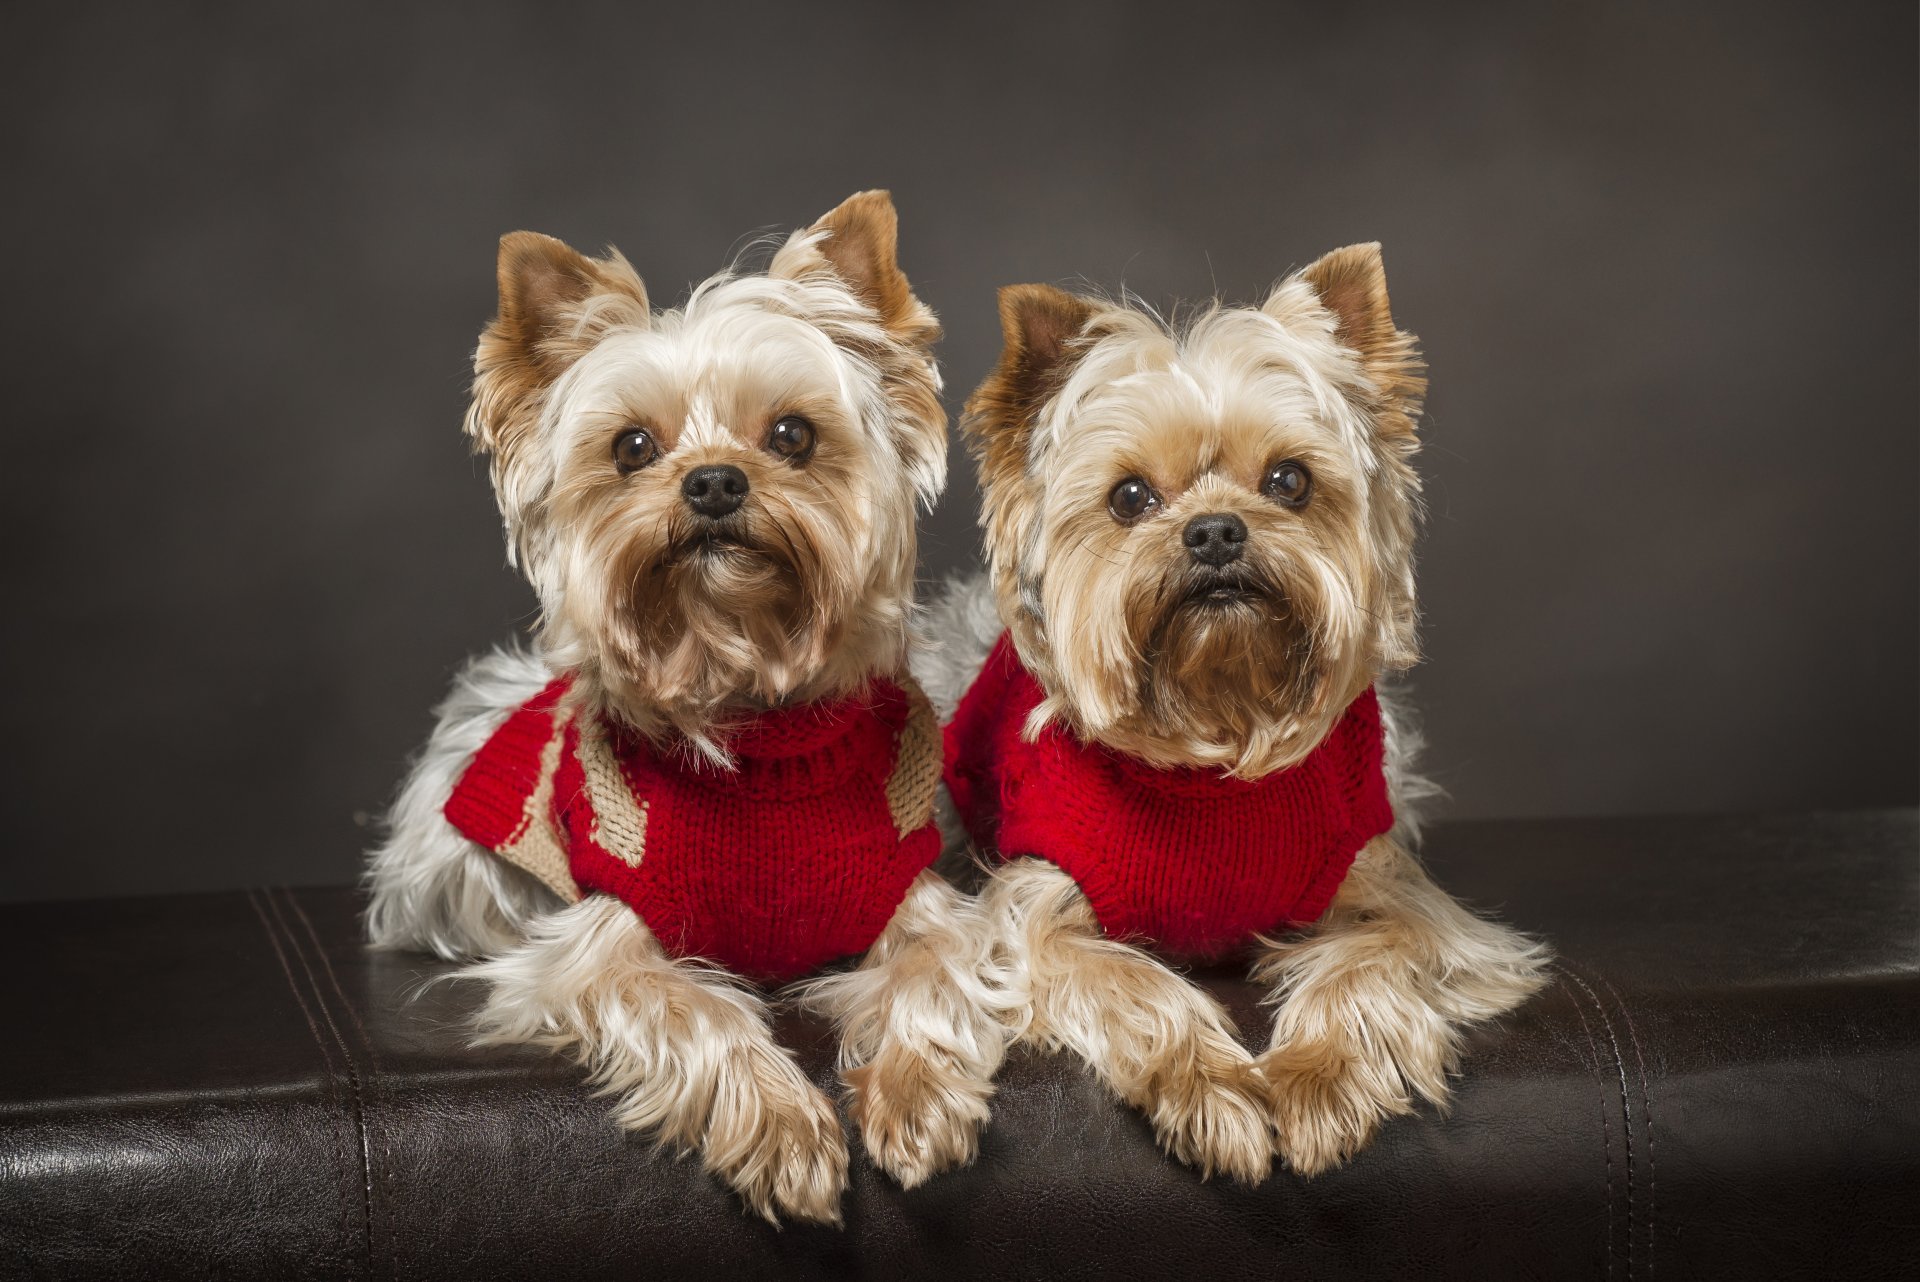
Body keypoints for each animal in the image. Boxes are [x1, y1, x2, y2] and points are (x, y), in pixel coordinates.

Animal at [364, 189, 1013, 1220]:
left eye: (792, 435)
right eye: (632, 446)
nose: (712, 480)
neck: (754, 713)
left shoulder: (917, 897)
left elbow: (934, 971)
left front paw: (918, 1102)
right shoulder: (601, 940)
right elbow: (687, 1002)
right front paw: (785, 1129)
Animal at [921, 245, 1551, 1189]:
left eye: (1290, 480)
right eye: (1130, 498)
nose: (1216, 531)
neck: (1215, 732)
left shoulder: (1398, 896)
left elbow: (1376, 957)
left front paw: (1318, 1080)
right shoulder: (1033, 915)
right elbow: (1125, 982)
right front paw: (1210, 1088)